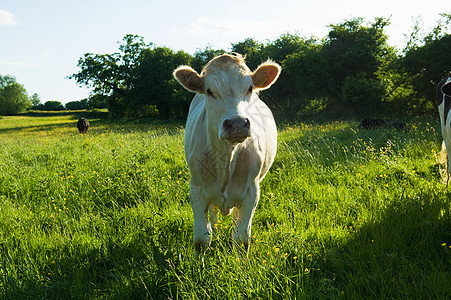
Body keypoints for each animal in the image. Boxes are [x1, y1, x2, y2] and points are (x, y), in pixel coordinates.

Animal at [175, 52, 280, 258]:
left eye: (250, 88)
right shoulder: (196, 189)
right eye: (209, 91)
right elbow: (201, 239)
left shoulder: (252, 191)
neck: (226, 157)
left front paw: (243, 266)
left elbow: (241, 239)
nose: (237, 123)